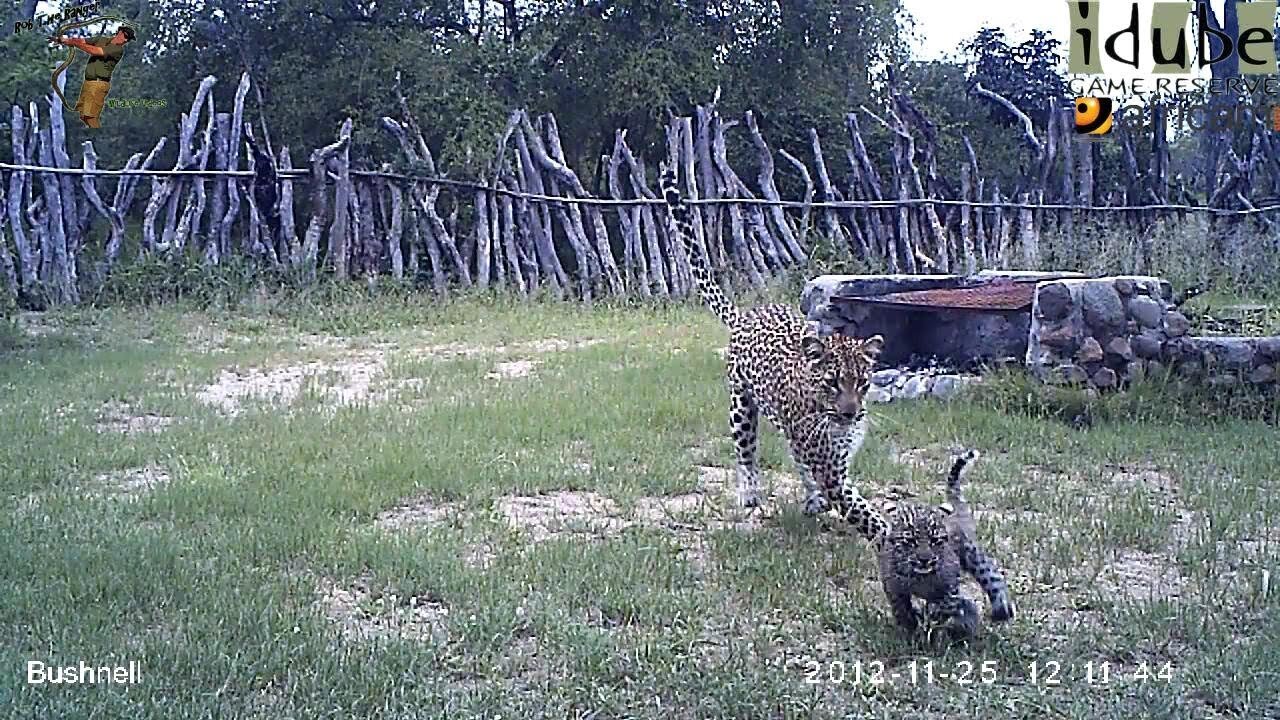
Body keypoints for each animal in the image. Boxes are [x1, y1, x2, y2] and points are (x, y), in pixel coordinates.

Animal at [660, 161, 890, 538]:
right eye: (832, 383)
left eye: (862, 383)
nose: (850, 414)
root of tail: (747, 314)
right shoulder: (832, 473)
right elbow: (866, 516)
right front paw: (896, 538)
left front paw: (816, 502)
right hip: (740, 408)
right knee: (745, 453)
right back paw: (750, 493)